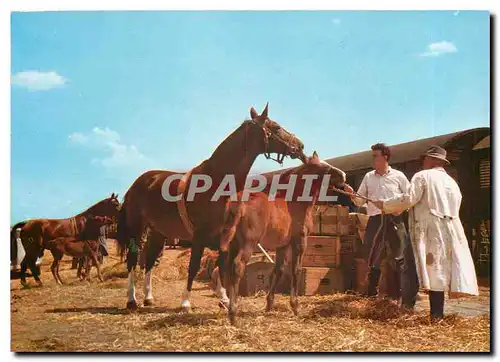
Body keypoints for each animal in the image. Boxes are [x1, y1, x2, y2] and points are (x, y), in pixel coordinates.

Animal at [117, 103, 306, 310]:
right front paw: (185, 302)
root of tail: (138, 183)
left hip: (158, 231)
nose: (300, 145)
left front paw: (224, 299)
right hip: (136, 229)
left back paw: (148, 297)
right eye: (276, 127)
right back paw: (131, 299)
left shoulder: (226, 235)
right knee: (133, 260)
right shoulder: (199, 236)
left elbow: (221, 266)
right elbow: (193, 267)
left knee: (150, 260)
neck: (217, 182)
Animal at [221, 151, 346, 324]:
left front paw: (269, 305)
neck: (294, 203)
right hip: (248, 244)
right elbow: (296, 270)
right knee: (237, 266)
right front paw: (295, 307)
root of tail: (238, 204)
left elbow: (278, 271)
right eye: (323, 167)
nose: (343, 176)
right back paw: (233, 314)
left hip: (233, 244)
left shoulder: (282, 246)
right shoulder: (300, 241)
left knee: (228, 268)